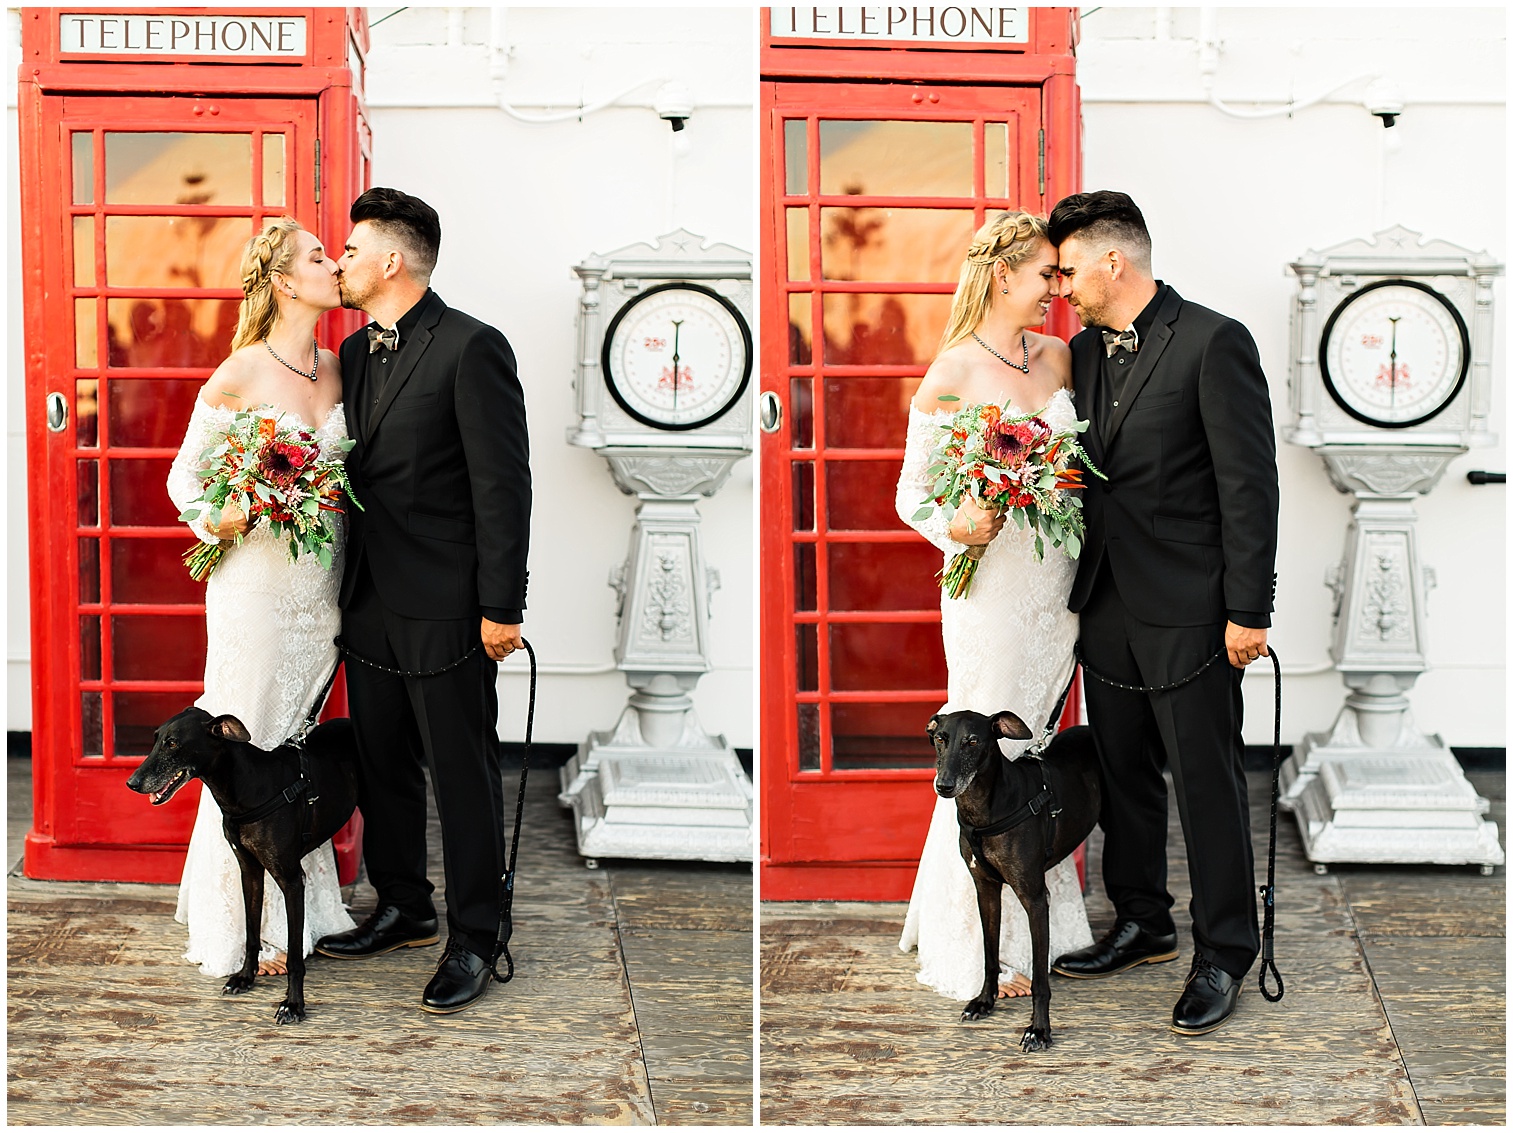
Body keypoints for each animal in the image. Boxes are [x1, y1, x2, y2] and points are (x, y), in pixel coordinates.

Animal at [125, 707, 358, 1022]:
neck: (249, 787)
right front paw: (245, 977)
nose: (132, 783)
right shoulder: (249, 871)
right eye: (155, 739)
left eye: (172, 744)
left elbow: (295, 955)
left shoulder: (291, 880)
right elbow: (250, 931)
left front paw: (293, 1004)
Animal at [919, 707, 1101, 1052]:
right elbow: (990, 954)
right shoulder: (986, 891)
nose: (944, 786)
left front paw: (1039, 1030)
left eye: (973, 741)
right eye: (940, 739)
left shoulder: (1035, 899)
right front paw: (984, 1001)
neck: (985, 811)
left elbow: (1040, 980)